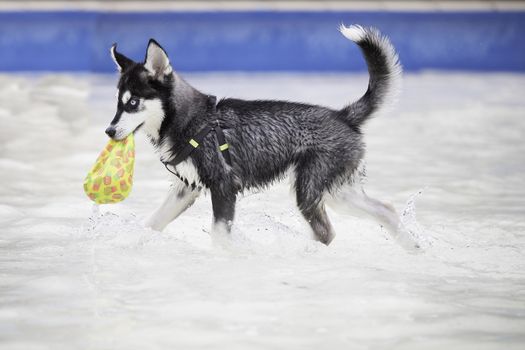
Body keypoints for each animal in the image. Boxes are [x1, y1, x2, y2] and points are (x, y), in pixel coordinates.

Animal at [105, 24, 418, 249]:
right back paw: (413, 248)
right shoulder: (186, 189)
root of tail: (343, 115)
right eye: (118, 103)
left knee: (326, 233)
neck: (192, 121)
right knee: (387, 210)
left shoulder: (224, 187)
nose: (109, 131)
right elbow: (151, 223)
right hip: (337, 192)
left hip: (309, 190)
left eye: (133, 102)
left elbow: (219, 235)